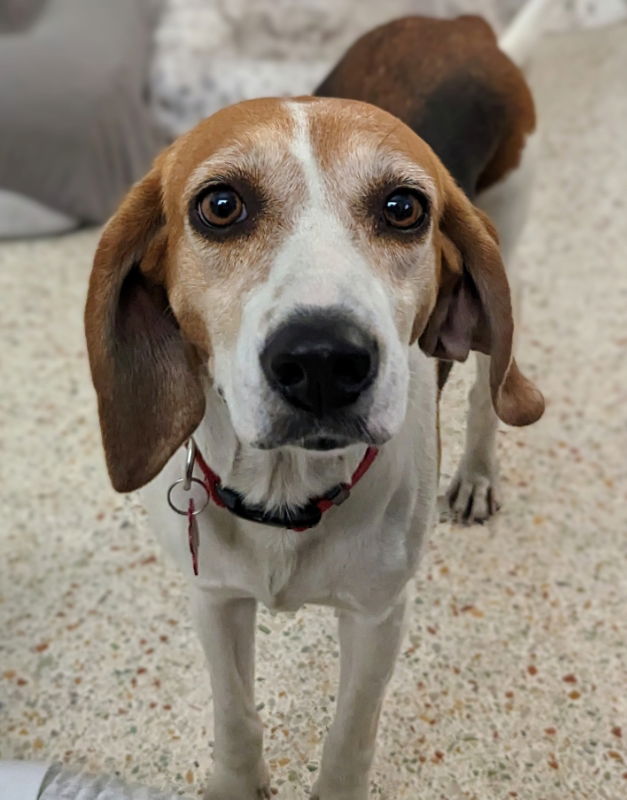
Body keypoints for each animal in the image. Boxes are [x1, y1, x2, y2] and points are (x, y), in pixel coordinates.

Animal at [86, 7, 548, 800]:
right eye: (220, 206)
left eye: (403, 207)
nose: (323, 362)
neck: (285, 494)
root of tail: (461, 24)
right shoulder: (214, 598)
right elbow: (235, 714)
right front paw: (237, 782)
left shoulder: (378, 617)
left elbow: (349, 738)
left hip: (508, 244)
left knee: (489, 397)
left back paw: (478, 475)